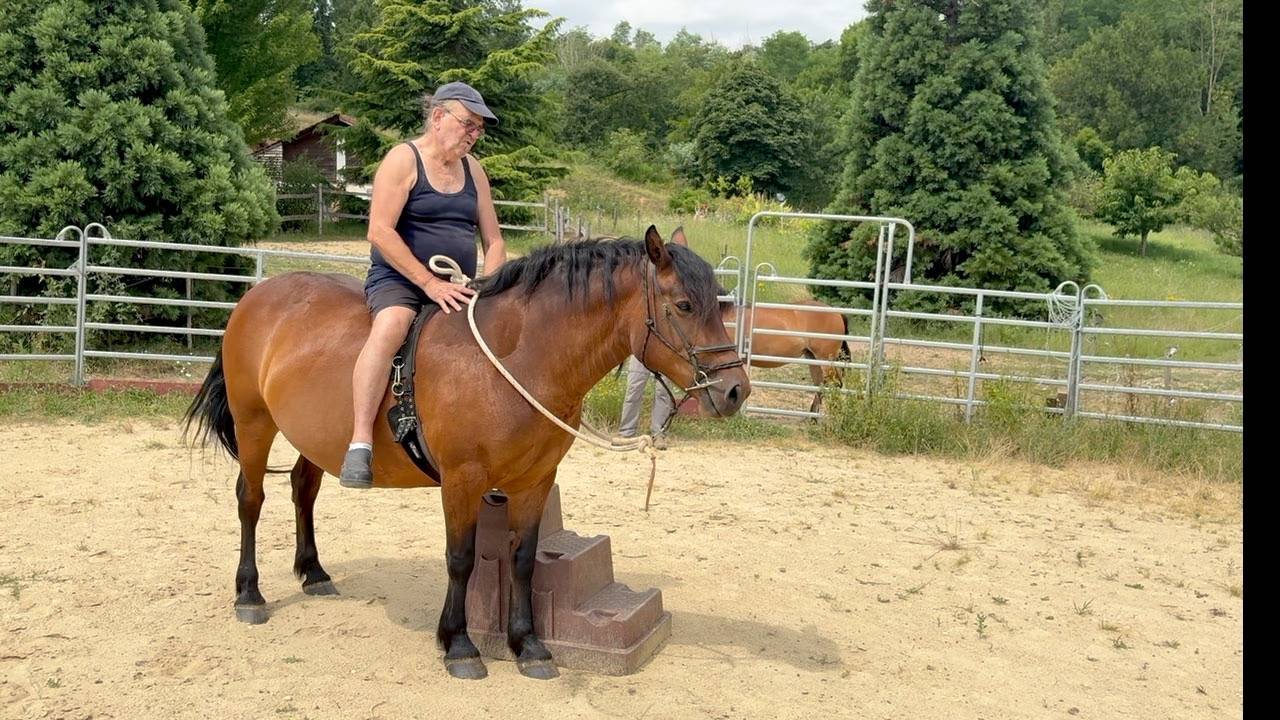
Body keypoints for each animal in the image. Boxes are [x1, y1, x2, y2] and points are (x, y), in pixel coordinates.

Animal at [183, 226, 750, 680]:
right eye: (684, 306)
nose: (735, 391)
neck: (516, 358)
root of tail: (258, 296)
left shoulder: (536, 481)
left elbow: (523, 560)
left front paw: (528, 645)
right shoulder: (462, 479)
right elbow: (460, 560)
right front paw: (458, 643)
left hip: (317, 436)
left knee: (303, 490)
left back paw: (314, 573)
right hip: (255, 425)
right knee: (251, 500)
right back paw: (249, 593)